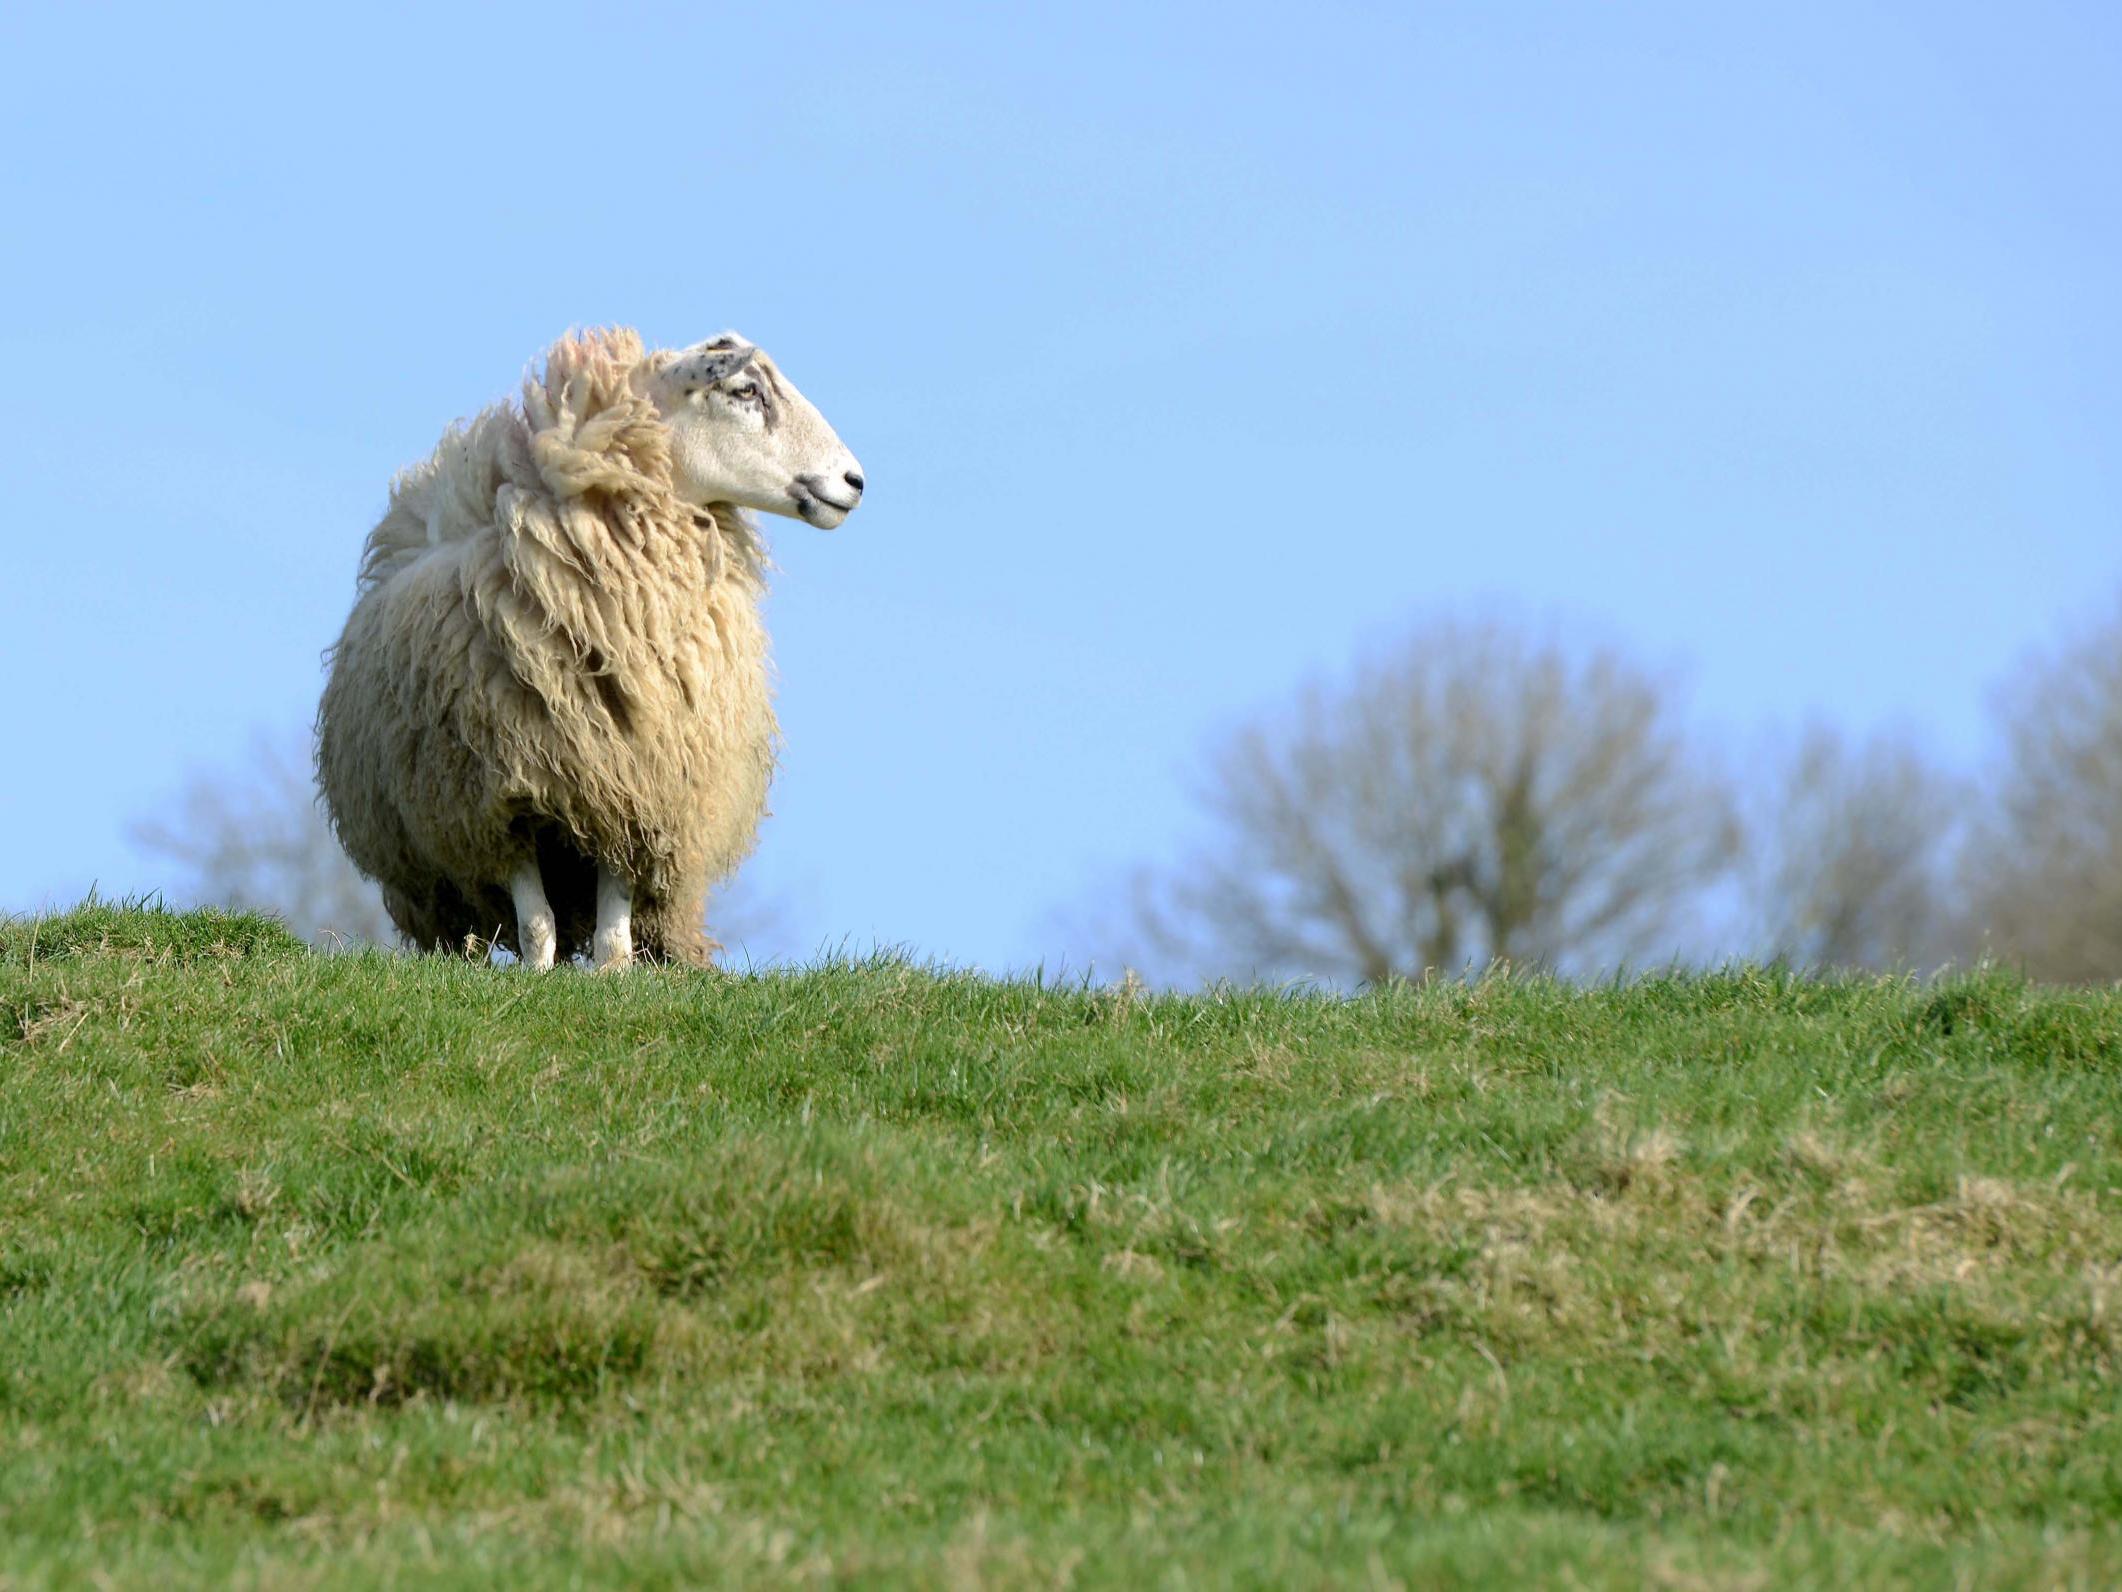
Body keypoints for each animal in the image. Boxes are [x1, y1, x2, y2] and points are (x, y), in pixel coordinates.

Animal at [314, 329, 861, 967]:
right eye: (745, 390)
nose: (855, 481)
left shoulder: (637, 784)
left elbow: (613, 924)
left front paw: (610, 973)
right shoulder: (503, 795)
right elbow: (536, 922)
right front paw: (538, 974)